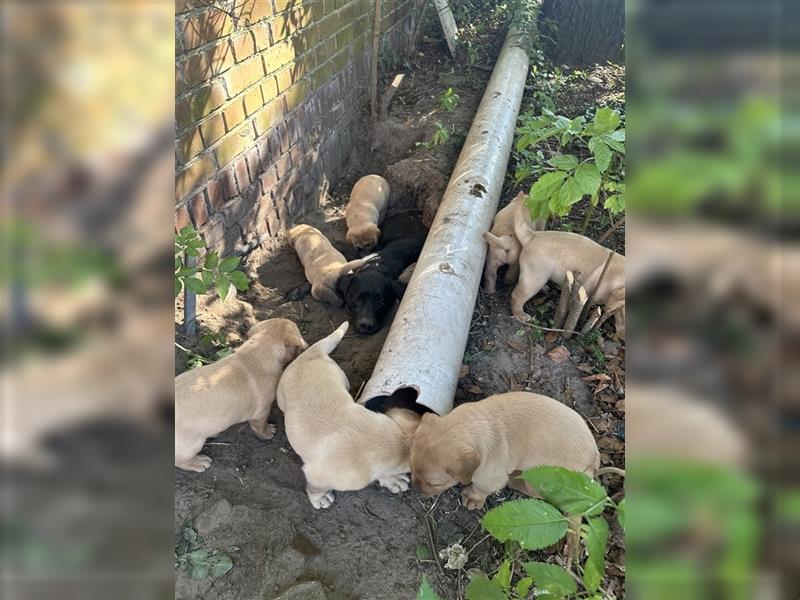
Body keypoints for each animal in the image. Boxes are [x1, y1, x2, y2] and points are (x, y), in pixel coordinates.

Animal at [177, 318, 308, 474]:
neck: (256, 353)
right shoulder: (261, 412)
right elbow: (260, 426)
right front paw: (267, 433)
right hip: (191, 444)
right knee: (180, 461)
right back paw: (199, 462)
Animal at [276, 322, 422, 508]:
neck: (398, 442)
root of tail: (312, 353)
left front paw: (391, 479)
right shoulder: (318, 474)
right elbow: (316, 488)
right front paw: (320, 498)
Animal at [412, 392, 600, 508]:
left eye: (434, 484)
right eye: (412, 471)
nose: (416, 489)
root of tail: (594, 459)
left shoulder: (489, 479)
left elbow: (480, 489)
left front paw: (472, 499)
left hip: (539, 478)